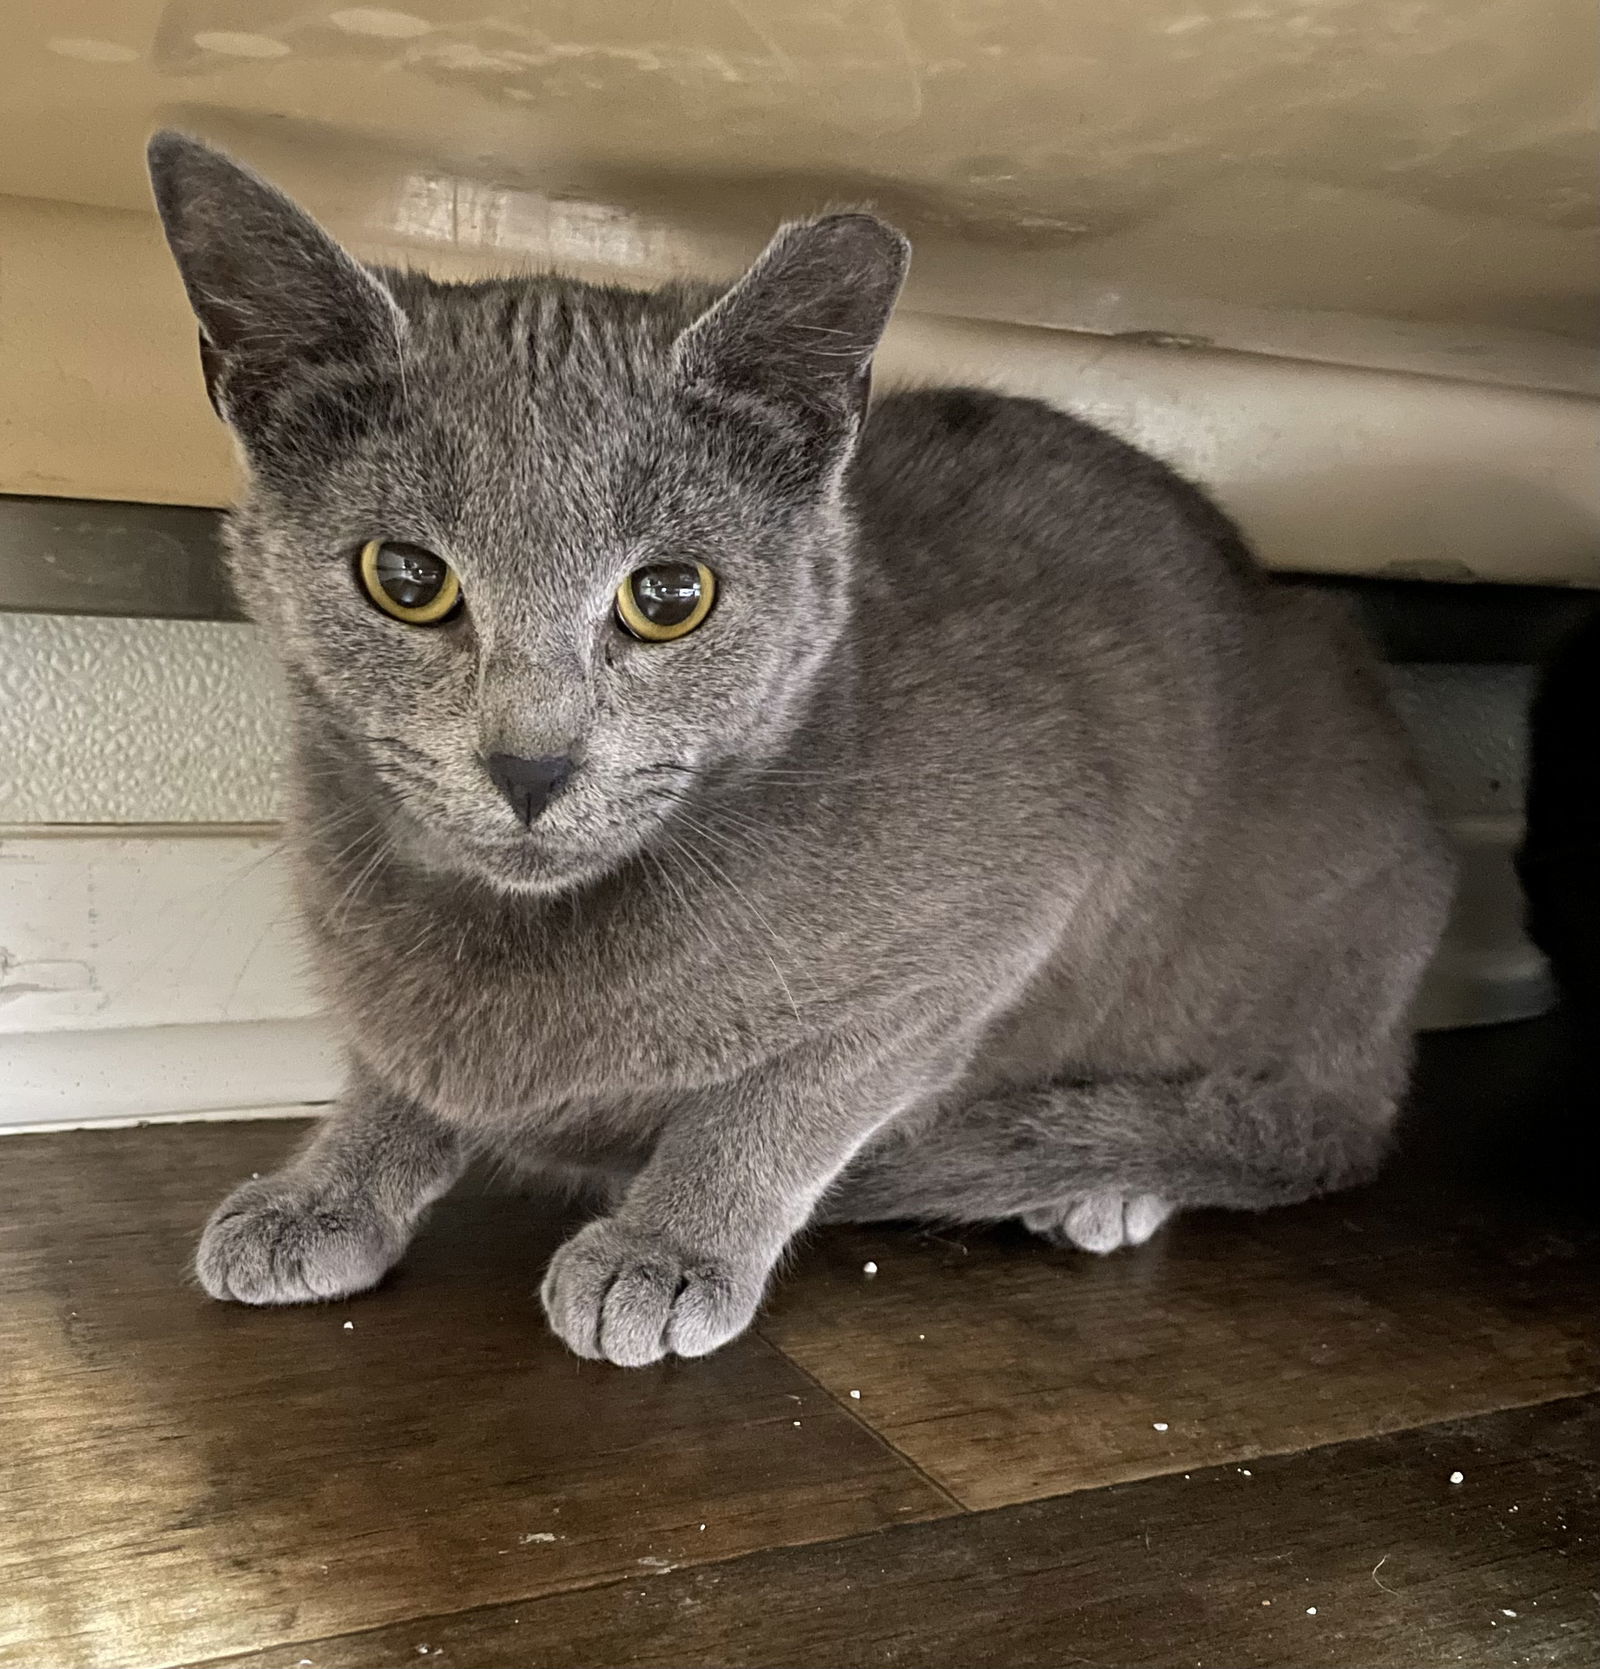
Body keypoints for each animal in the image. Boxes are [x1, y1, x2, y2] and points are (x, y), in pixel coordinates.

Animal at [146, 126, 1454, 1355]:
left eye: (669, 597)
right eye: (407, 578)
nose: (530, 764)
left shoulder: (996, 921)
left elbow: (790, 1096)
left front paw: (668, 1246)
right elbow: (395, 1067)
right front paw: (327, 1190)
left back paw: (1103, 1182)